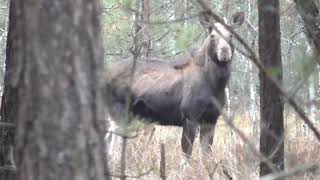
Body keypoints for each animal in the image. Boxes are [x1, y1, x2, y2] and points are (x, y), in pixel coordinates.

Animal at [105, 11, 245, 165]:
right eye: (212, 35)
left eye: (231, 35)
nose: (224, 52)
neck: (216, 84)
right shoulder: (190, 117)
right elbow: (186, 155)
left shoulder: (211, 119)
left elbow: (207, 155)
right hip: (119, 112)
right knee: (113, 144)